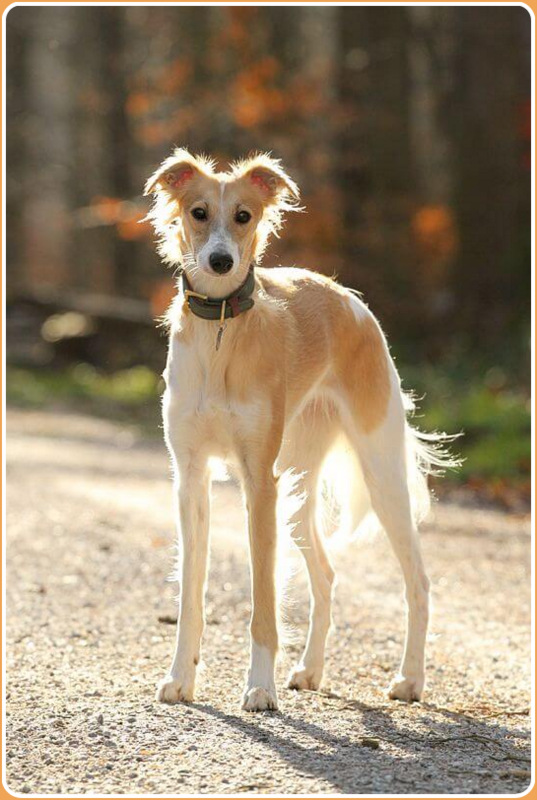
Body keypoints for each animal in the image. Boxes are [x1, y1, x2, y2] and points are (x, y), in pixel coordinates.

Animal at [143, 150, 452, 712]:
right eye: (199, 212)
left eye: (243, 216)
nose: (220, 262)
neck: (222, 329)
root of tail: (346, 297)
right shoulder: (191, 479)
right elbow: (191, 594)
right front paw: (180, 678)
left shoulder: (258, 483)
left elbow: (263, 602)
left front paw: (258, 687)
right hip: (298, 487)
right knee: (326, 575)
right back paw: (311, 669)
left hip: (379, 473)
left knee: (418, 580)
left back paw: (411, 679)